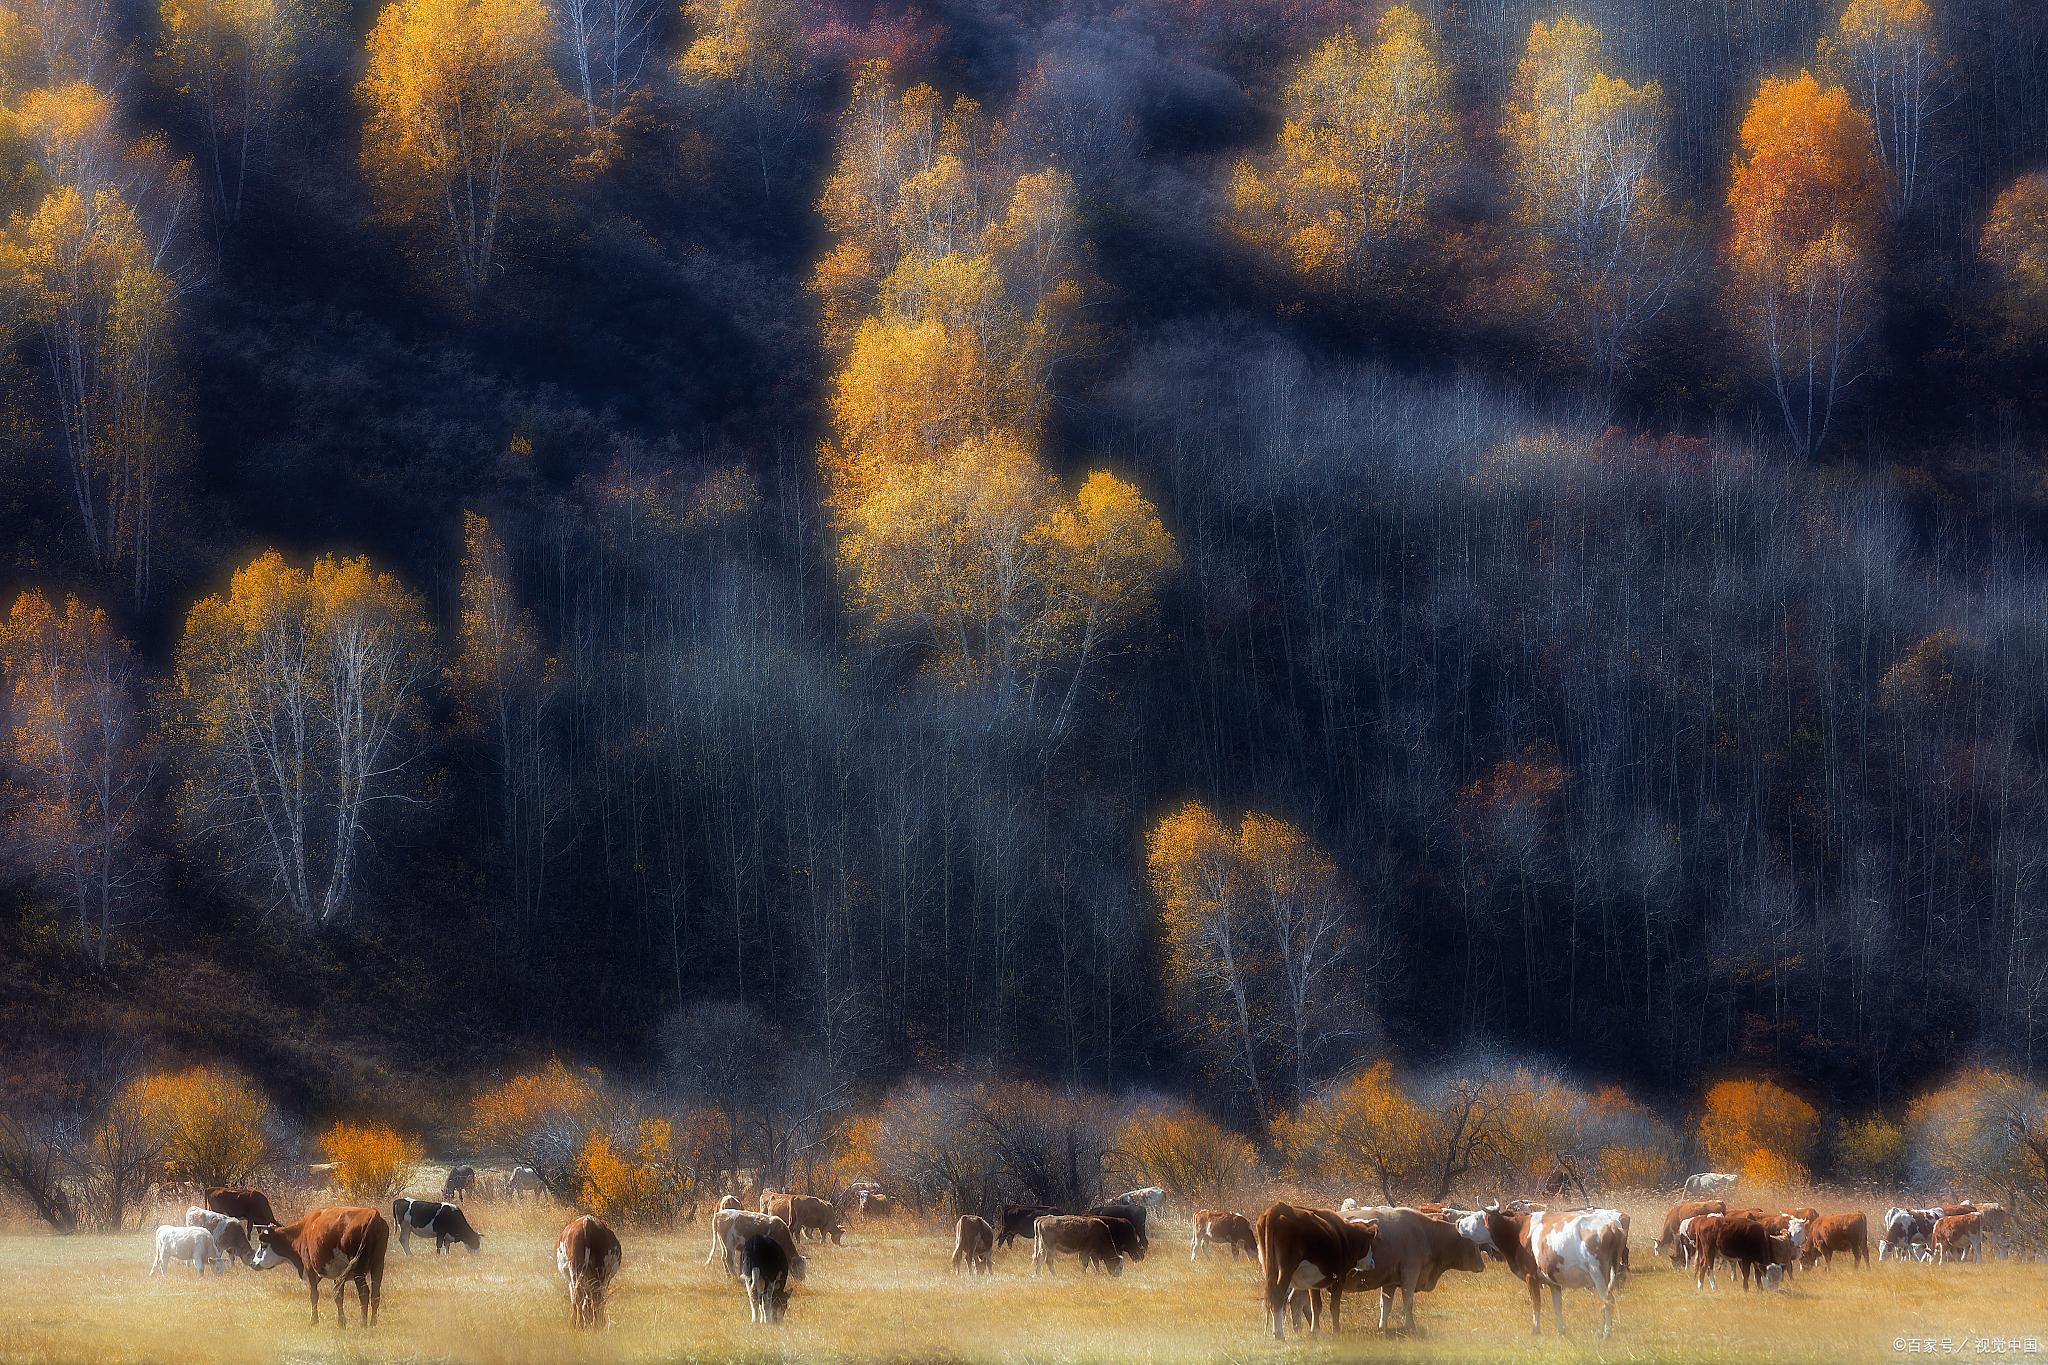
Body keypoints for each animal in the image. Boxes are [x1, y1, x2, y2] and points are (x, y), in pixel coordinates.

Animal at [250, 1211, 387, 1326]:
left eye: (263, 1245)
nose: (253, 1263)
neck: (303, 1231)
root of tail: (373, 1214)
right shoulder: (338, 1273)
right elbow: (338, 1296)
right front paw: (341, 1322)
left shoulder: (310, 1268)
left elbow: (314, 1295)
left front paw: (314, 1321)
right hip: (378, 1265)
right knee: (375, 1294)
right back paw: (372, 1324)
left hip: (359, 1269)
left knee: (364, 1293)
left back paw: (363, 1324)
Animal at [1245, 1203, 1376, 1342]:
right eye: (1369, 1243)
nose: (1372, 1262)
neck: (1345, 1237)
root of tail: (1278, 1207)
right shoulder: (1339, 1278)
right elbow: (1334, 1307)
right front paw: (1336, 1331)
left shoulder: (1313, 1282)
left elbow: (1316, 1306)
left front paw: (1315, 1331)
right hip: (1286, 1269)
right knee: (1278, 1295)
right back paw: (1279, 1333)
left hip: (1269, 1268)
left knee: (1270, 1297)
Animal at [1343, 1203, 1490, 1334]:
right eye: (1472, 1240)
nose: (1482, 1265)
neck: (1427, 1234)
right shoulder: (1410, 1273)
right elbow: (1408, 1303)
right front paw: (1411, 1327)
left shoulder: (1390, 1282)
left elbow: (1385, 1306)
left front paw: (1382, 1329)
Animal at [1466, 1211, 1622, 1342]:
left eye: (1477, 1217)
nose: (1460, 1223)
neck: (1519, 1232)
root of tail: (1612, 1225)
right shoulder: (1554, 1283)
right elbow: (1557, 1306)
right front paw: (1561, 1331)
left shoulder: (1530, 1277)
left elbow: (1536, 1303)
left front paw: (1535, 1330)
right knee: (1606, 1302)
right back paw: (1601, 1332)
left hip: (1598, 1274)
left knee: (1608, 1301)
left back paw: (1606, 1334)